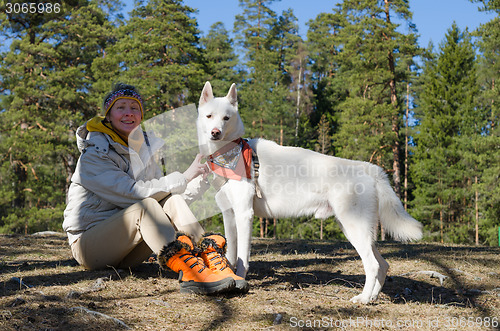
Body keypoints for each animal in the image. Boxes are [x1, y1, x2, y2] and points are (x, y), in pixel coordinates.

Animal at [196, 81, 422, 304]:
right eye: (209, 116)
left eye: (226, 118)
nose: (215, 132)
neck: (227, 156)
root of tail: (369, 168)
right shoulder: (229, 215)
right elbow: (231, 254)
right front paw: (229, 275)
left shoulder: (244, 215)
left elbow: (243, 258)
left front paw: (241, 281)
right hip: (356, 229)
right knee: (383, 264)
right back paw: (373, 297)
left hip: (354, 227)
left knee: (373, 265)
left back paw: (364, 299)